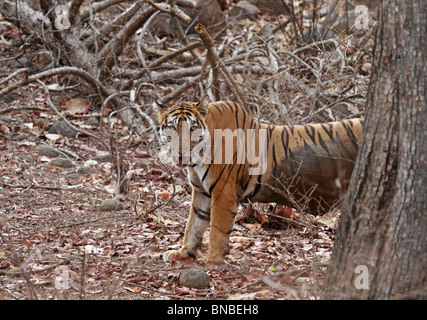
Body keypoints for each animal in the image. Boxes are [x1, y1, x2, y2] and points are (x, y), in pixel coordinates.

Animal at [155, 100, 362, 264]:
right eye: (172, 128)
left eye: (192, 128)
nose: (181, 153)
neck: (196, 159)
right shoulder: (202, 192)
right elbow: (193, 225)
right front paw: (183, 253)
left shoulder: (223, 192)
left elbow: (216, 229)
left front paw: (212, 261)